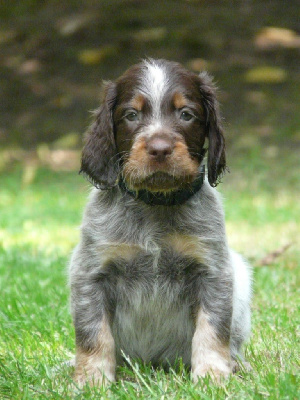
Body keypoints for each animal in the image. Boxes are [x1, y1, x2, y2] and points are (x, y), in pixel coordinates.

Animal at [69, 57, 252, 386]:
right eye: (131, 115)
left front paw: (212, 375)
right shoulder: (90, 273)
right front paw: (91, 379)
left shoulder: (213, 272)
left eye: (186, 114)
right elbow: (93, 333)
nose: (159, 149)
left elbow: (212, 329)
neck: (155, 204)